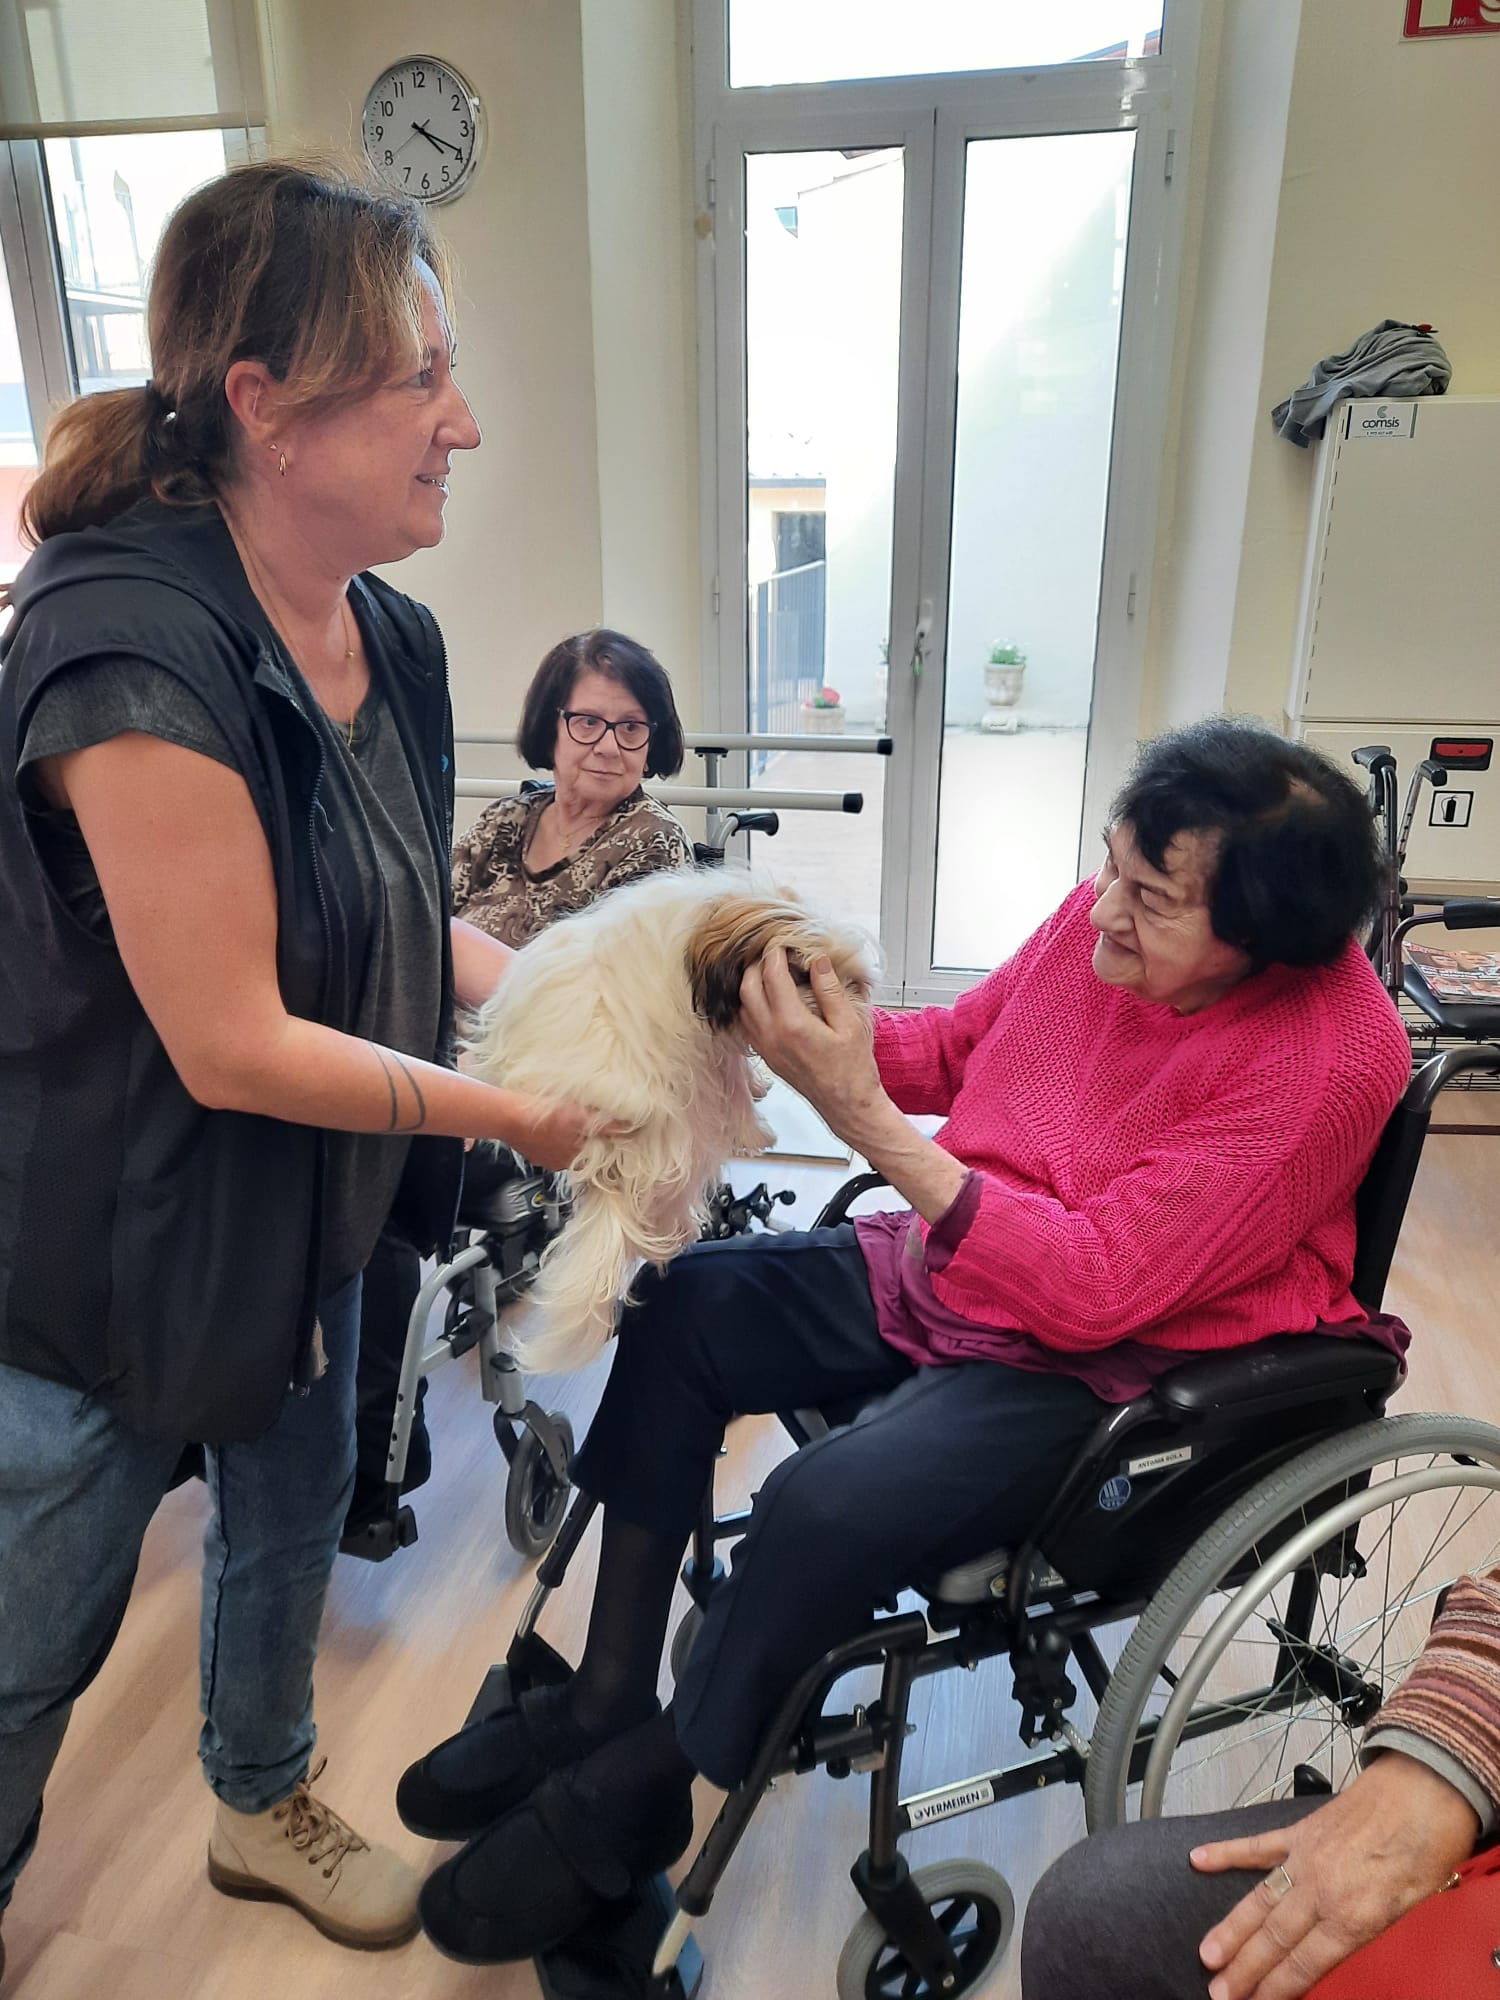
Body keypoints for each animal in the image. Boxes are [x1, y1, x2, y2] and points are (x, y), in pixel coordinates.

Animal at [468, 868, 878, 1372]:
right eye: (802, 973)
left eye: (849, 980)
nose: (840, 1008)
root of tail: (607, 1166)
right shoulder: (709, 1034)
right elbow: (732, 1077)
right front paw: (756, 1121)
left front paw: (756, 1093)